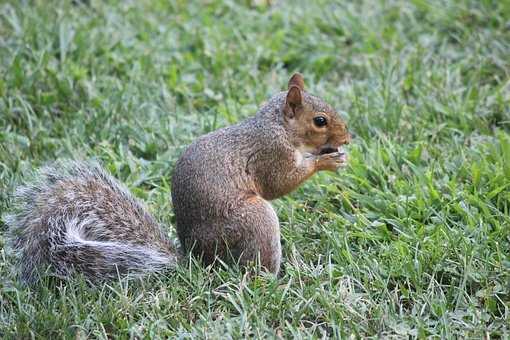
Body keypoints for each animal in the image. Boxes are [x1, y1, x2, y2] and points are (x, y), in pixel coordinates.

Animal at [5, 74, 352, 284]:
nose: (348, 138)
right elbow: (279, 182)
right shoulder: (270, 153)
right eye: (320, 121)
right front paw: (325, 161)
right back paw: (275, 280)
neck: (277, 126)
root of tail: (198, 260)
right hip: (253, 219)